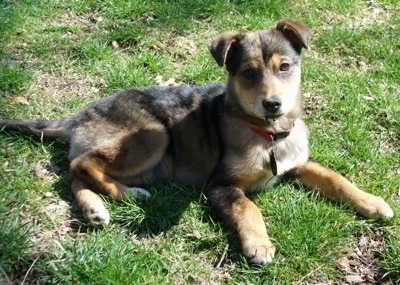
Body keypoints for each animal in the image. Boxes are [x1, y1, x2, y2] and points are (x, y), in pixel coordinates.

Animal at [0, 19, 394, 264]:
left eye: (285, 67)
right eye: (247, 73)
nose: (273, 104)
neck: (267, 134)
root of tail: (78, 115)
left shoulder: (298, 163)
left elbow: (336, 178)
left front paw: (373, 203)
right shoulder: (220, 185)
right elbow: (249, 208)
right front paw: (259, 245)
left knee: (75, 176)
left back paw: (96, 209)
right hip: (155, 135)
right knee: (80, 164)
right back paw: (129, 196)